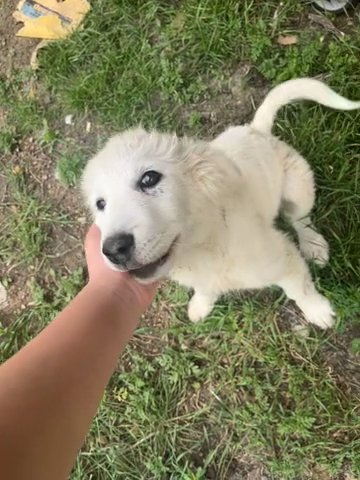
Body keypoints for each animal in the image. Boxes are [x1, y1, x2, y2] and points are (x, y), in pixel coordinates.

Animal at [81, 79, 360, 328]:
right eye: (101, 204)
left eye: (149, 178)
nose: (115, 249)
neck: (203, 247)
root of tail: (256, 130)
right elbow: (204, 288)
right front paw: (201, 305)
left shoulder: (285, 258)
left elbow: (300, 290)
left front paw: (317, 311)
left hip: (297, 187)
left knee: (301, 219)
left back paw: (314, 245)